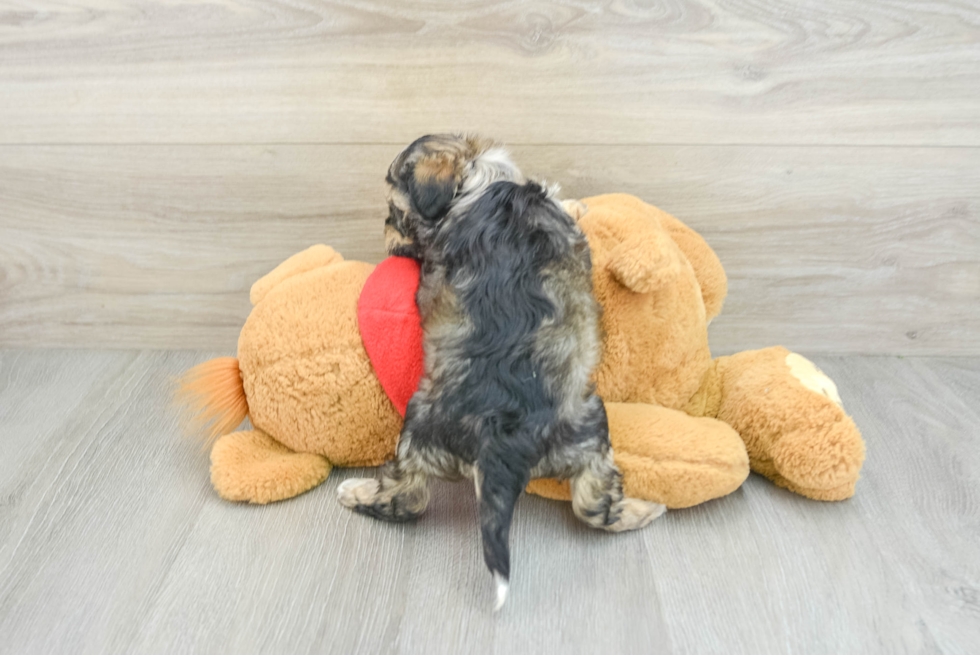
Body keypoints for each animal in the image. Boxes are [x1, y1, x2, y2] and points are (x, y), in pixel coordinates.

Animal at [336, 136, 668, 612]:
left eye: (395, 213)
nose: (387, 240)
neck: (472, 183)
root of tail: (497, 439)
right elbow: (567, 206)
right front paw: (579, 203)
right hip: (589, 426)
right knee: (593, 504)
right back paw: (645, 511)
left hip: (418, 432)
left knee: (407, 495)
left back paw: (356, 492)